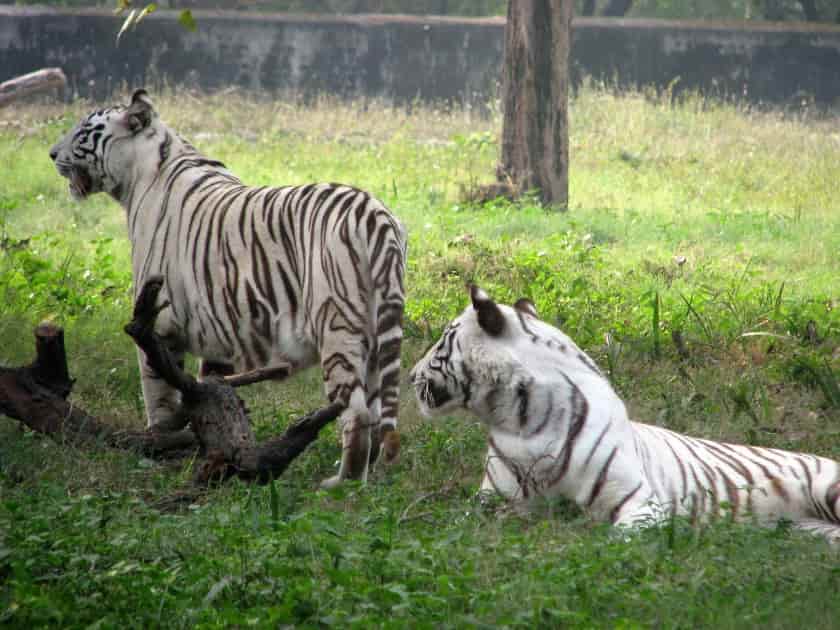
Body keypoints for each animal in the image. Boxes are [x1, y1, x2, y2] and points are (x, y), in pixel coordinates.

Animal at [49, 89, 406, 487]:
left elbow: (158, 392)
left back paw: (340, 484)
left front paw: (159, 443)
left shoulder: (159, 321)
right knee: (376, 409)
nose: (51, 153)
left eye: (83, 130)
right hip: (375, 331)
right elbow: (210, 394)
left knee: (356, 412)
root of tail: (373, 211)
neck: (142, 172)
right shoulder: (219, 328)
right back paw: (367, 478)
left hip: (337, 325)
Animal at [410, 285, 840, 544]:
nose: (410, 374)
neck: (520, 421)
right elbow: (455, 520)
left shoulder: (641, 504)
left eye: (441, 342)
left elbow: (612, 539)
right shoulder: (491, 498)